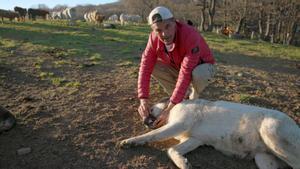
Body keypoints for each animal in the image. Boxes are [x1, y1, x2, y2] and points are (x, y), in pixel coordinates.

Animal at [119, 99, 300, 169]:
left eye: (150, 110)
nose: (144, 121)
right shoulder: (195, 139)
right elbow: (172, 150)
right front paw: (183, 163)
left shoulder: (179, 124)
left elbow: (152, 135)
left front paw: (129, 141)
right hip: (263, 158)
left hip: (271, 131)